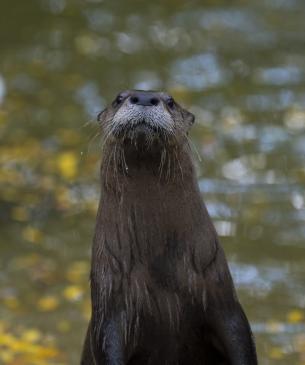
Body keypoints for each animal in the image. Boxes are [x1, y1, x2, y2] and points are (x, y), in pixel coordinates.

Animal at [81, 89, 256, 362]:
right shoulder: (109, 305)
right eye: (119, 98)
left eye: (170, 101)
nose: (143, 98)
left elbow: (240, 336)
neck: (160, 263)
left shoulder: (222, 298)